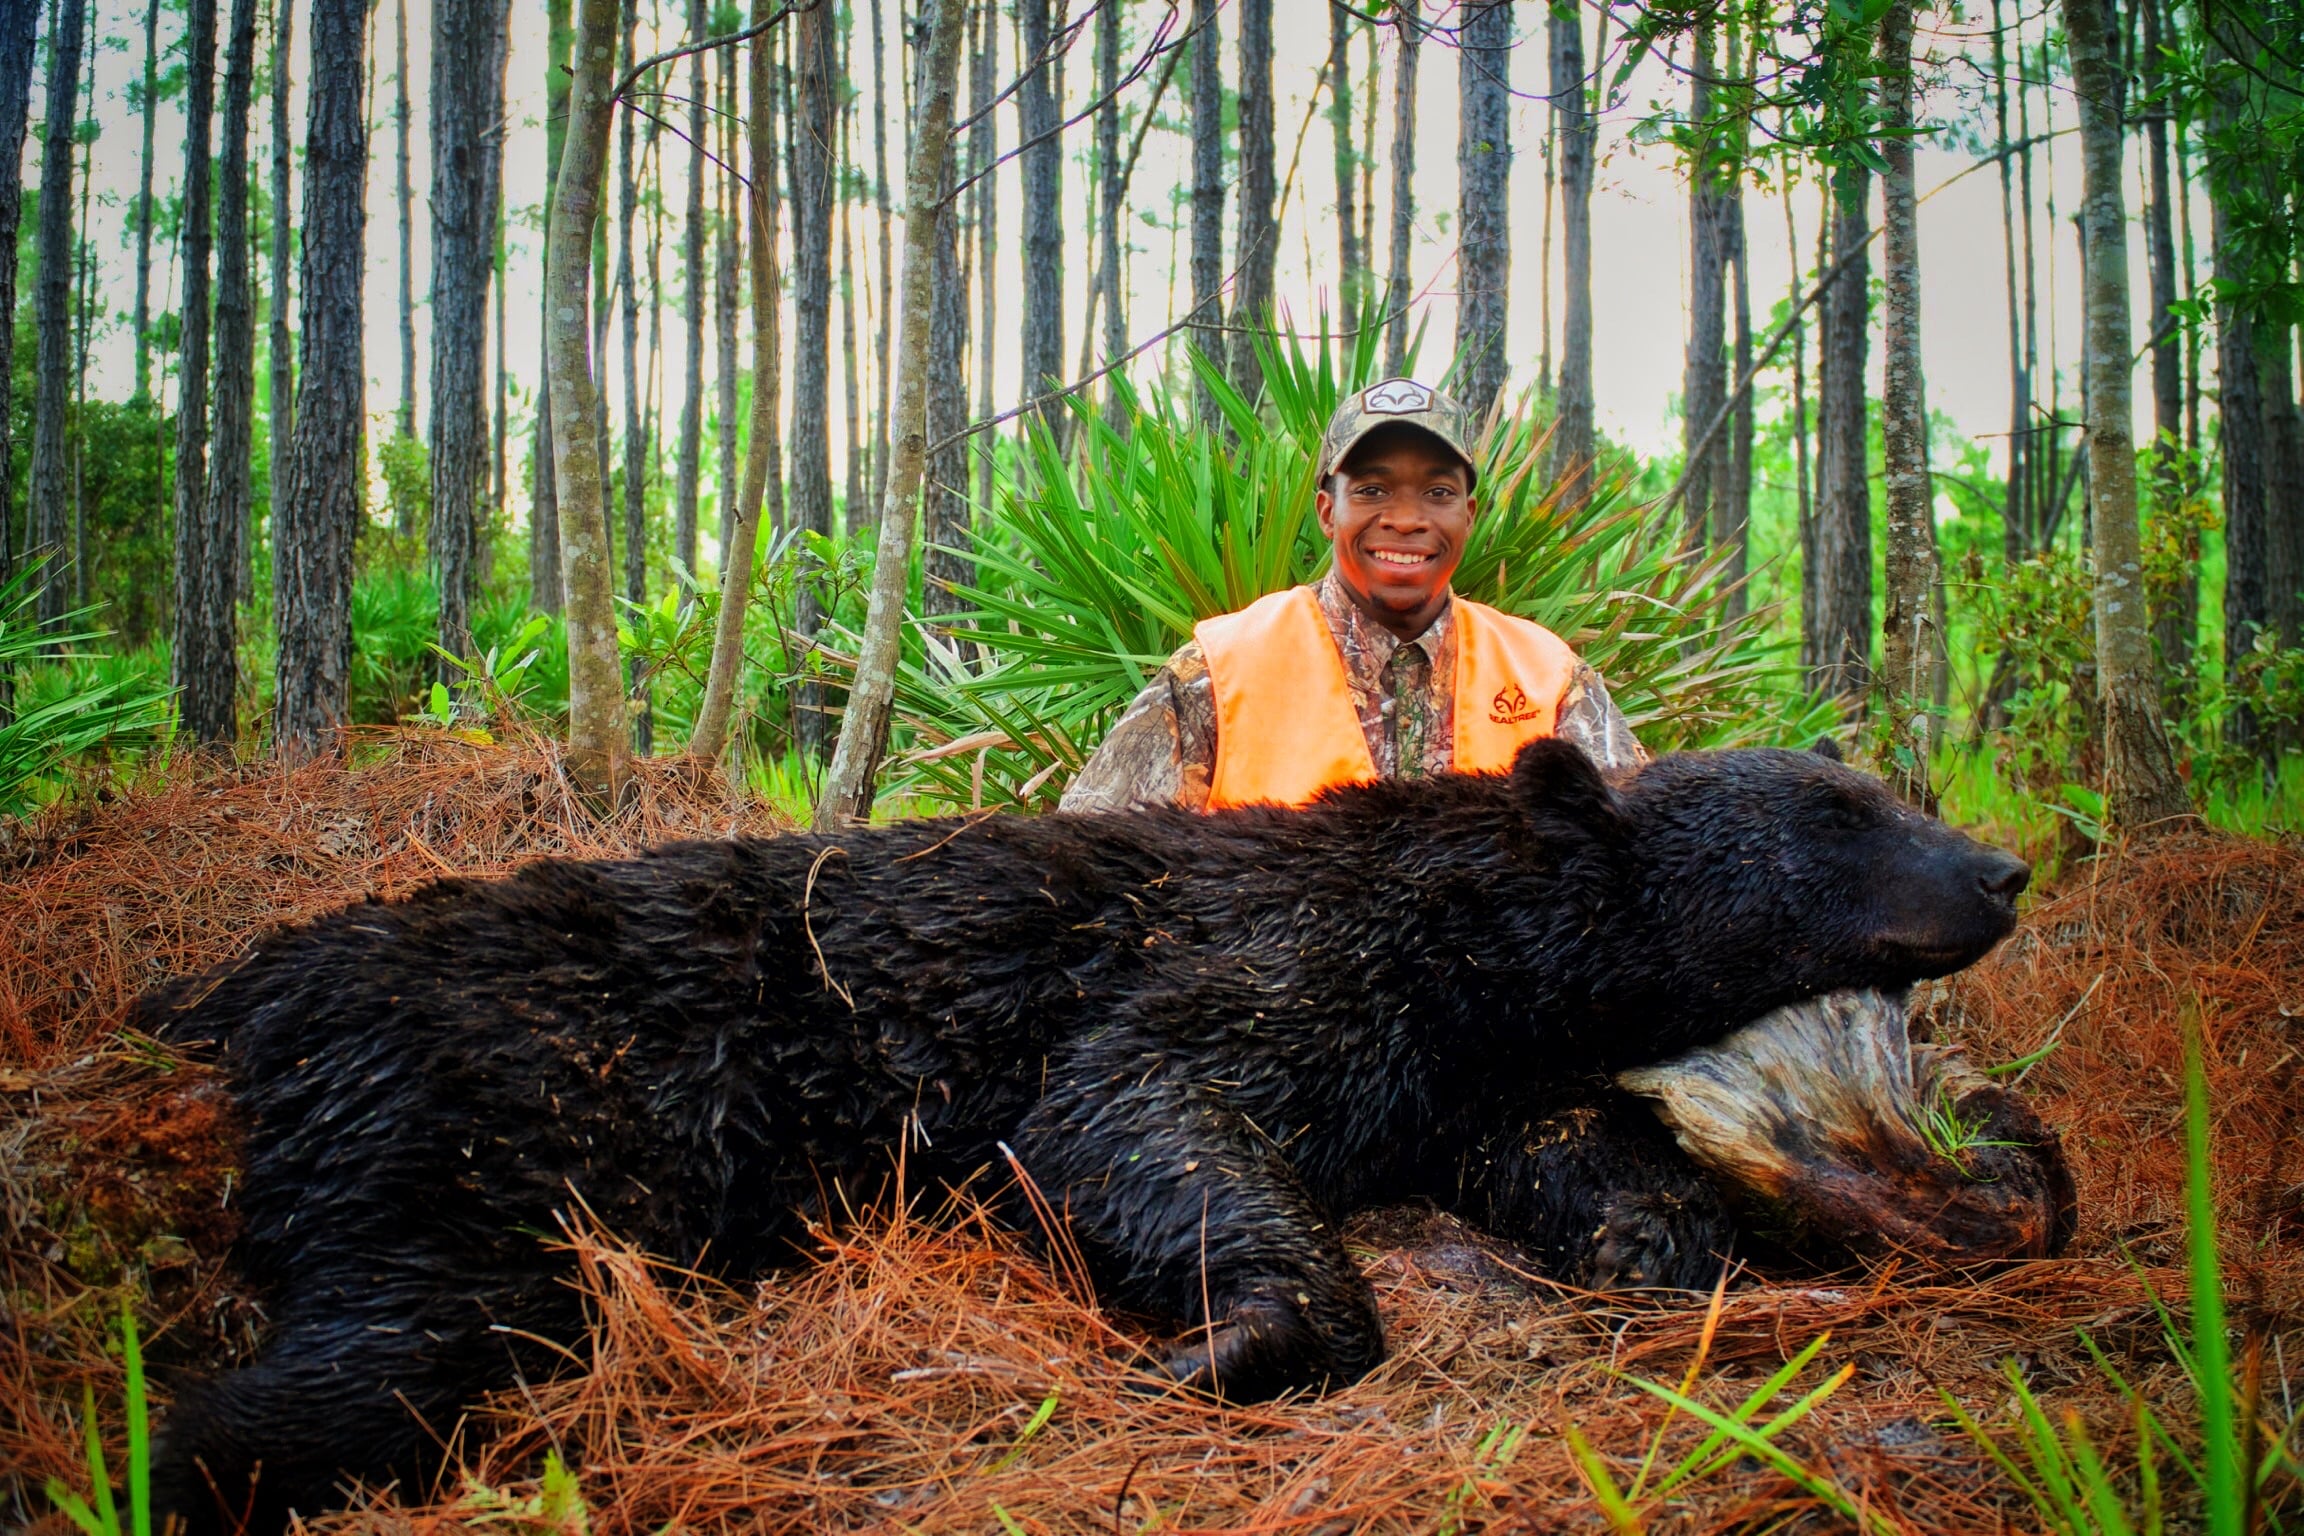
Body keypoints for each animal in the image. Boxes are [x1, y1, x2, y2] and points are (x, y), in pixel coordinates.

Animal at [138, 739, 2032, 1533]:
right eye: (1841, 812)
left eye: (1890, 788)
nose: (2006, 866)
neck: (1462, 927)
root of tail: (242, 982)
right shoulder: (1250, 972)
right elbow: (1123, 1111)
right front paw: (1240, 1336)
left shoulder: (1469, 1068)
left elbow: (1569, 1162)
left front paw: (1684, 1248)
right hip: (491, 1108)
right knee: (382, 1343)